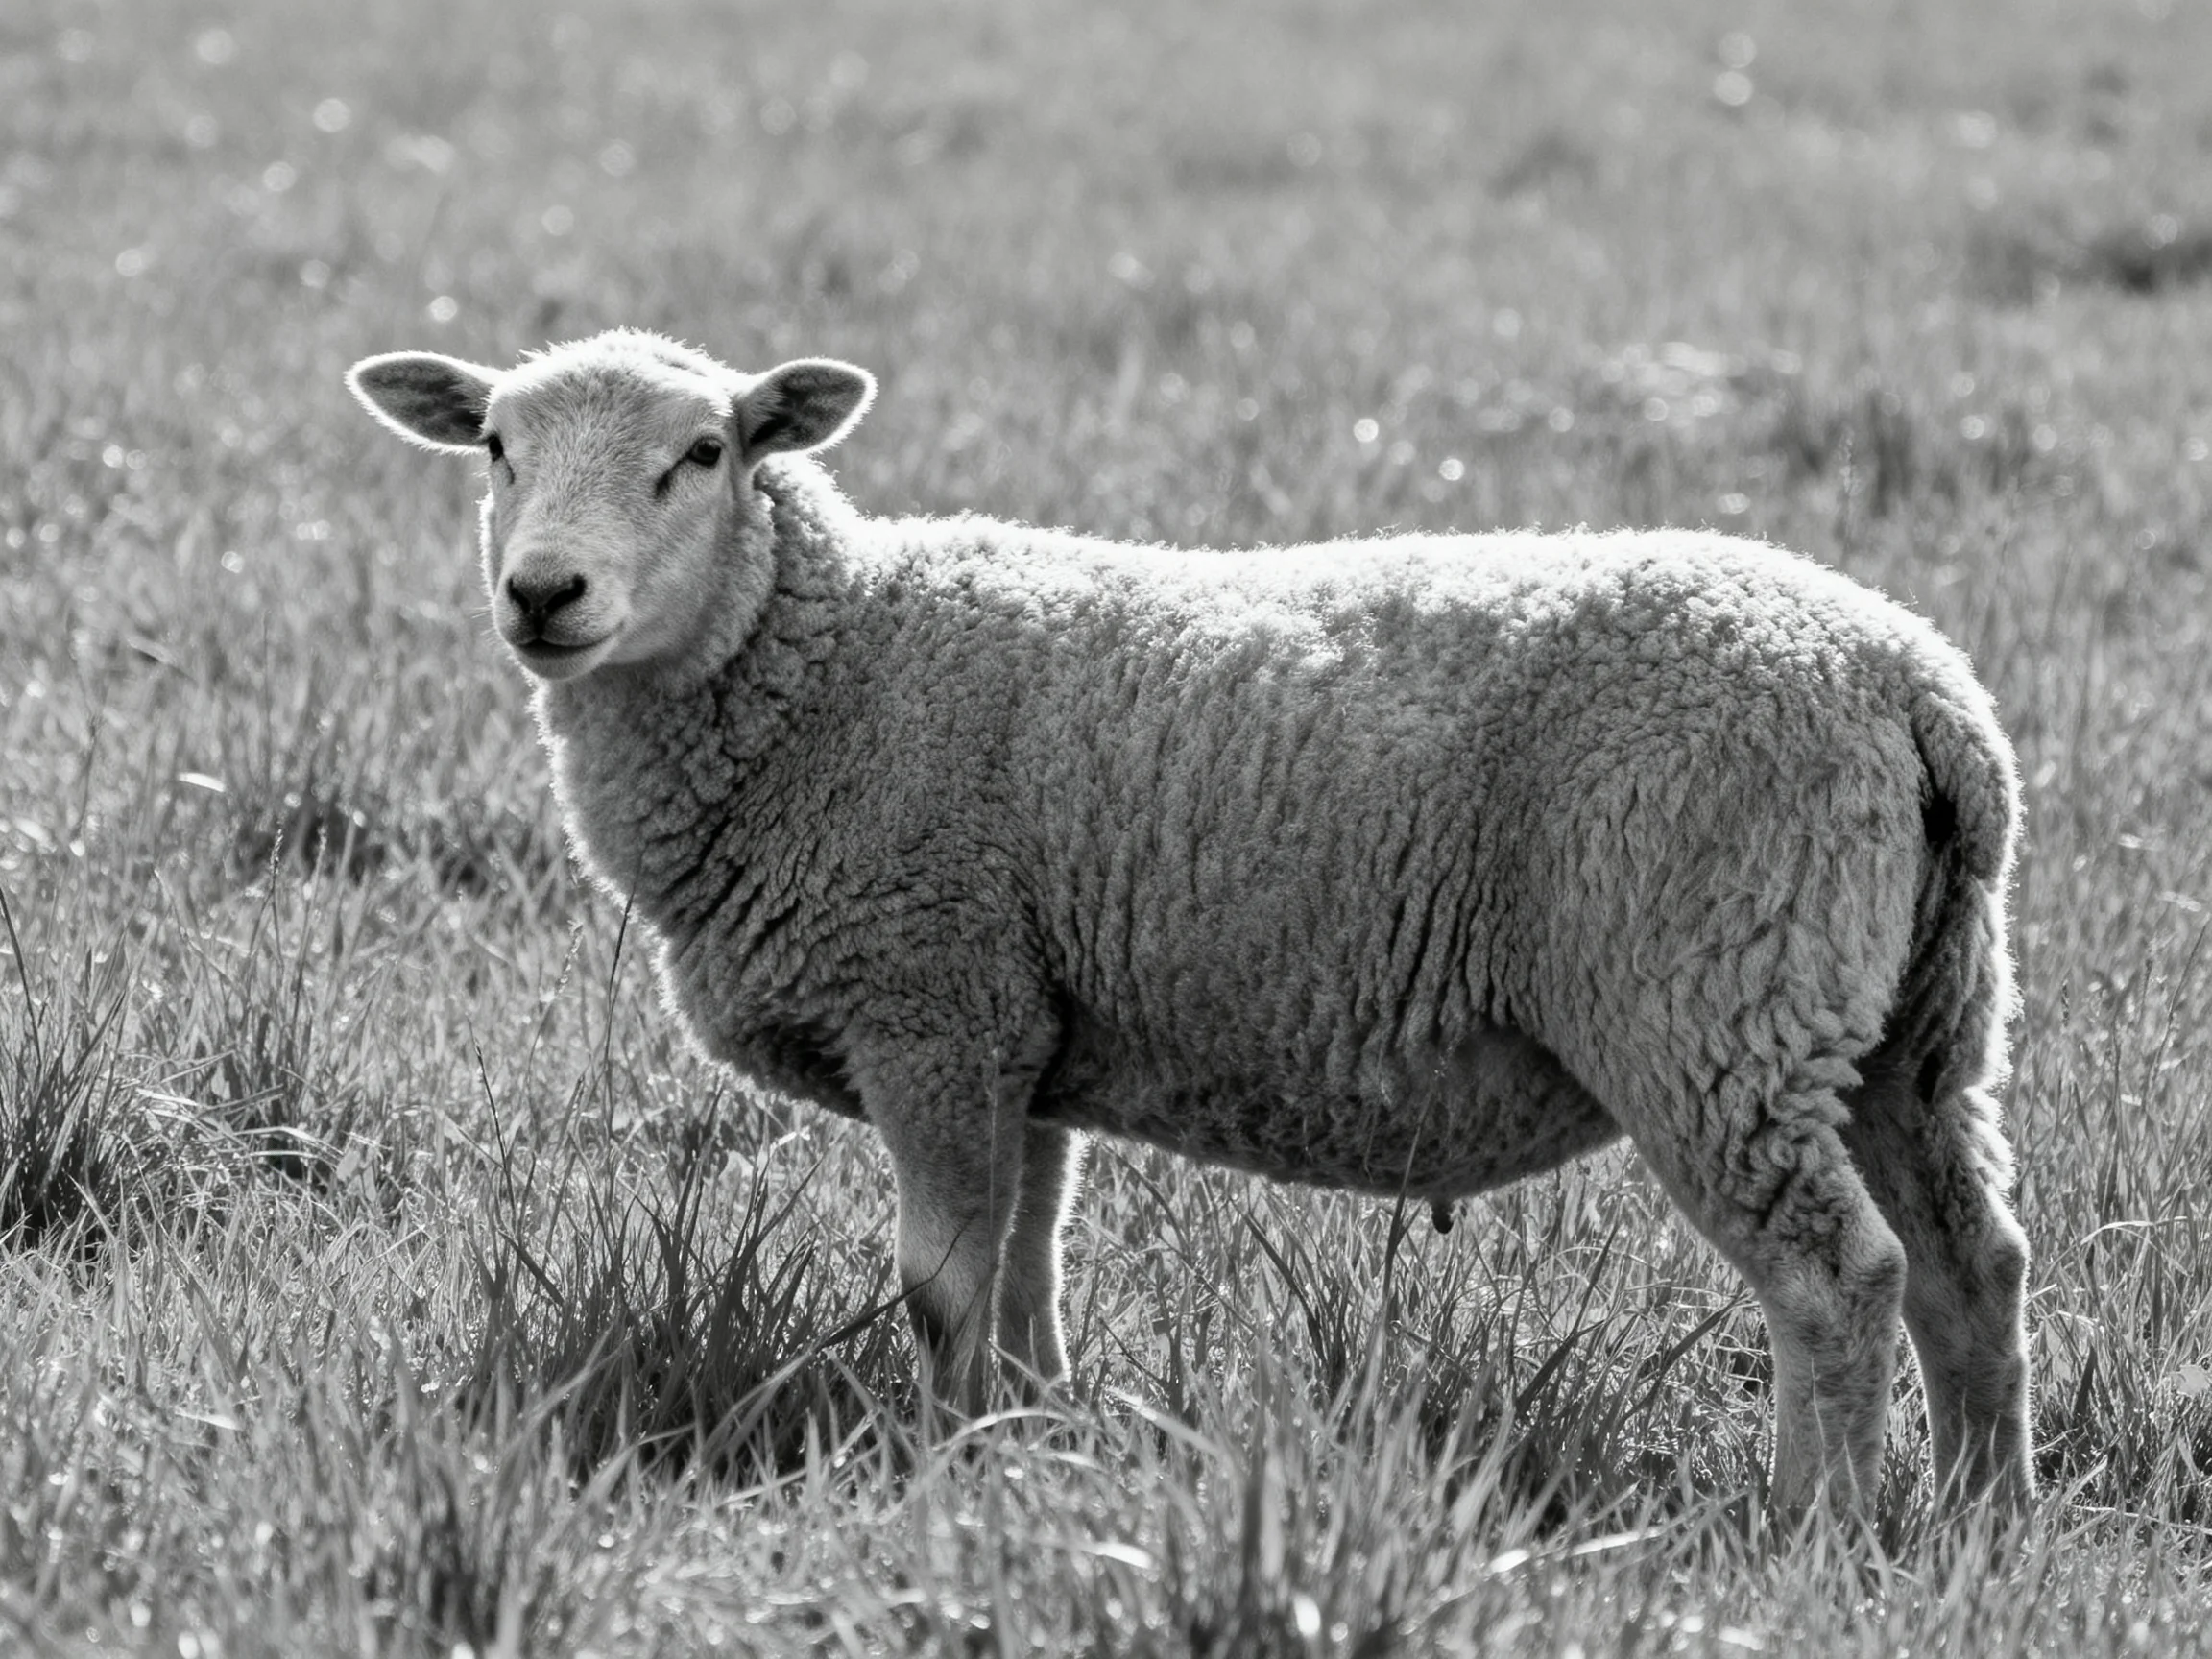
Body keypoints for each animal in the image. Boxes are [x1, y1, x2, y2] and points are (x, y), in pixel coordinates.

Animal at [347, 328, 2033, 1524]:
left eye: (702, 454)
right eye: (493, 446)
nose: (543, 593)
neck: (827, 672)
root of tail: (1915, 682)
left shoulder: (929, 1006)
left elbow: (939, 1286)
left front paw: (941, 1470)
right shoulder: (1018, 1027)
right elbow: (1021, 1277)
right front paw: (1023, 1446)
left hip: (1712, 1004)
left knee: (1840, 1278)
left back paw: (1815, 1529)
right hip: (1911, 1022)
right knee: (1974, 1260)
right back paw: (1978, 1516)